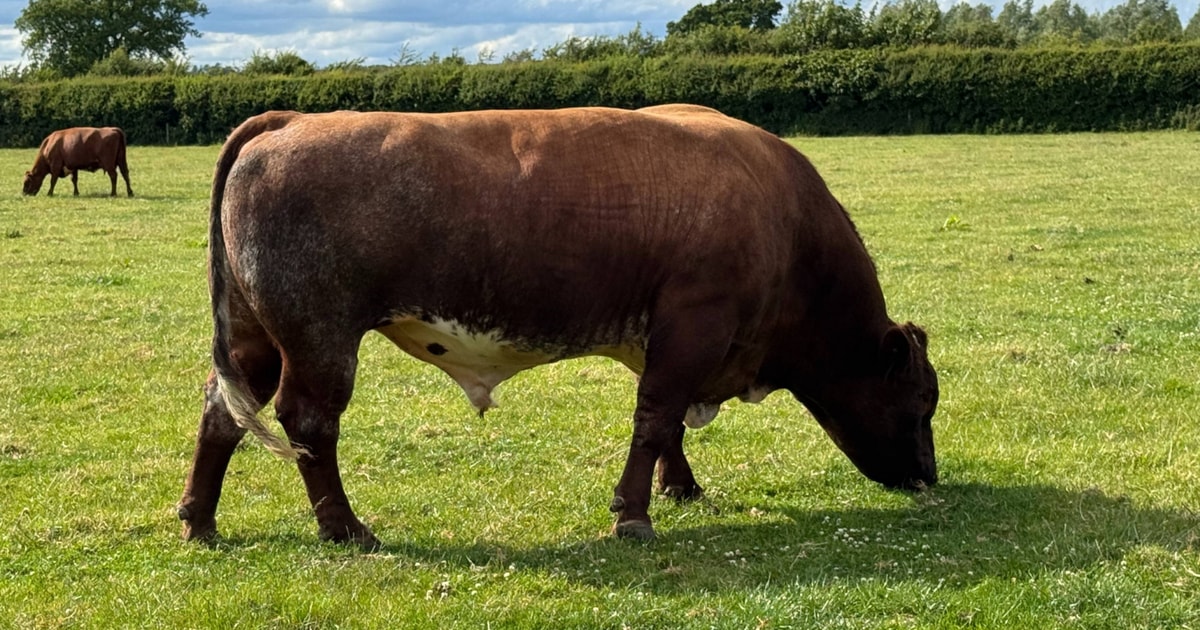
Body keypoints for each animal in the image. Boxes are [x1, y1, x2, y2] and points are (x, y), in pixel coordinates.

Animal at [177, 106, 939, 550]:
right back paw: (345, 528)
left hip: (253, 334)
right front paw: (634, 515)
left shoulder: (662, 337)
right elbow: (656, 418)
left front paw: (681, 488)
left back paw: (200, 519)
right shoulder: (696, 322)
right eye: (921, 402)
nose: (929, 479)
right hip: (318, 335)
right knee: (309, 422)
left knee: (223, 409)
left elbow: (662, 421)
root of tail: (290, 119)